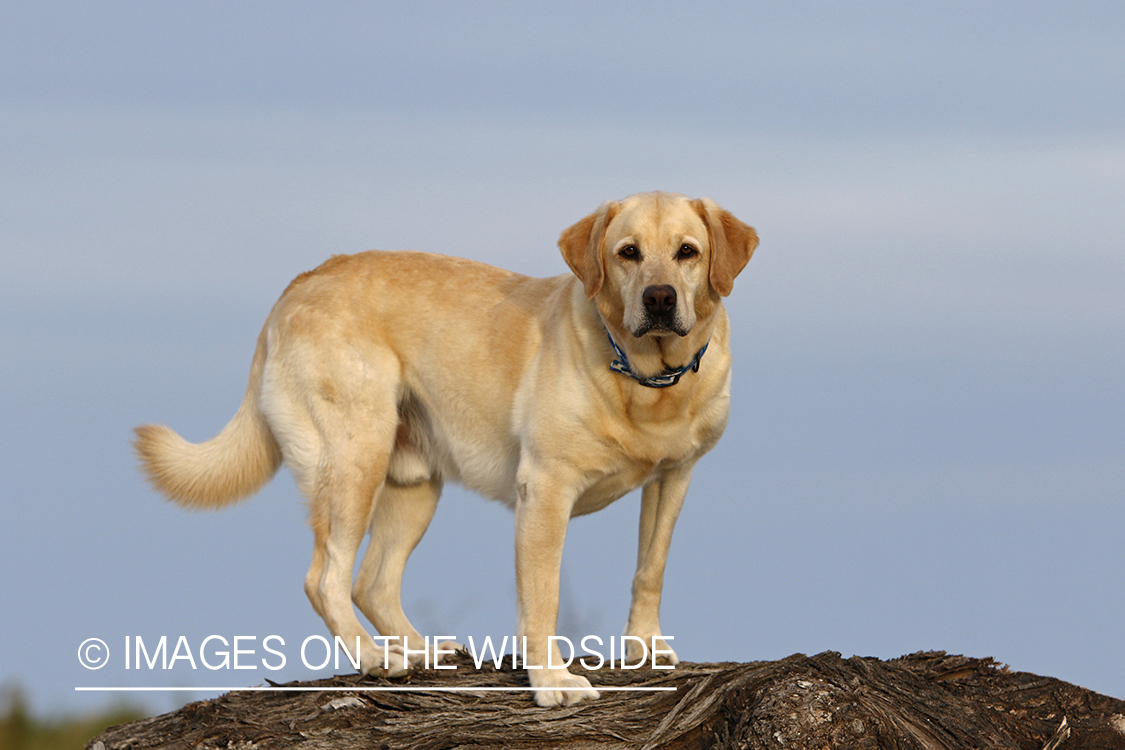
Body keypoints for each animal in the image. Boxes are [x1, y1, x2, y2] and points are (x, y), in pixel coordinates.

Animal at [136, 191, 760, 706]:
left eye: (687, 252)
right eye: (628, 252)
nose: (660, 299)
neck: (649, 383)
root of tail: (303, 279)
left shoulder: (674, 477)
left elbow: (650, 568)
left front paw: (644, 648)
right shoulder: (546, 491)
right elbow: (543, 598)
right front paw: (552, 682)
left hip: (414, 484)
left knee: (372, 581)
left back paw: (421, 652)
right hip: (354, 459)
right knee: (327, 578)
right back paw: (375, 659)